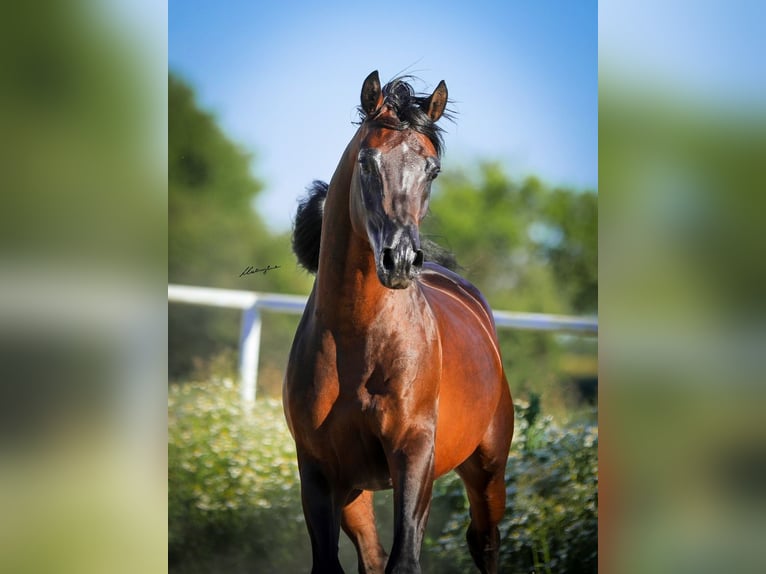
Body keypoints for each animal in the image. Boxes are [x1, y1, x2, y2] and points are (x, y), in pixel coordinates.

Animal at [284, 71, 514, 574]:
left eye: (433, 170)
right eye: (367, 162)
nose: (401, 260)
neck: (357, 341)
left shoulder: (413, 455)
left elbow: (404, 559)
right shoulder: (319, 473)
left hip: (487, 469)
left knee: (485, 541)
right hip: (356, 491)